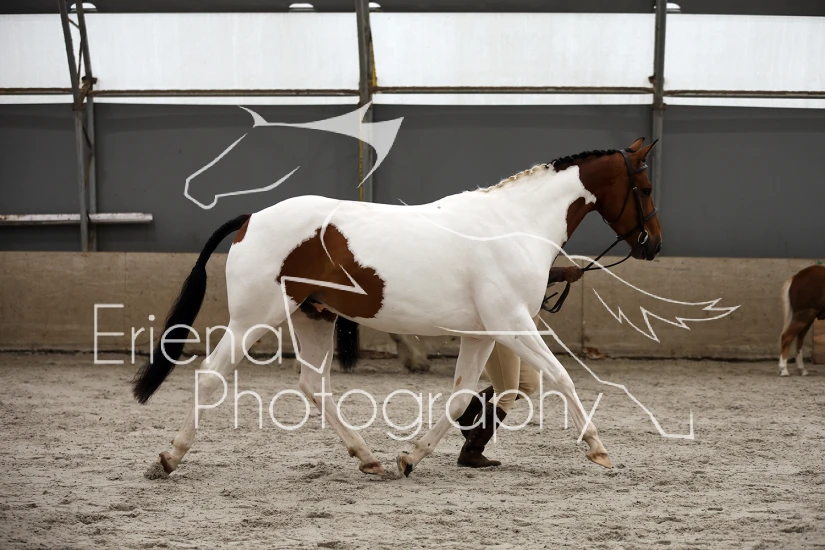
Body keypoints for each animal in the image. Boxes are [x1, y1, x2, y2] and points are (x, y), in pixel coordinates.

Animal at [132, 137, 661, 477]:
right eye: (646, 188)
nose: (653, 245)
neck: (514, 224)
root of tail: (250, 218)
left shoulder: (483, 332)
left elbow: (461, 396)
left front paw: (412, 457)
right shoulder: (511, 325)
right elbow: (563, 378)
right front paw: (599, 451)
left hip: (313, 316)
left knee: (313, 386)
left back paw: (370, 458)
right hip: (253, 319)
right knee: (210, 376)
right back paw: (169, 458)